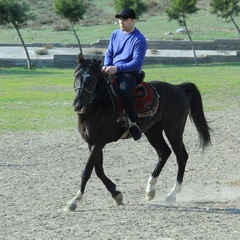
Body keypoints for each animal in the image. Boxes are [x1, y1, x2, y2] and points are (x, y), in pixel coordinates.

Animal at [63, 54, 210, 212]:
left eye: (92, 78)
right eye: (77, 76)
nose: (78, 105)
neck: (100, 105)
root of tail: (178, 88)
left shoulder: (99, 143)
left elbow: (87, 171)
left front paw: (74, 201)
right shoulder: (93, 143)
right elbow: (98, 170)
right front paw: (116, 194)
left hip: (174, 131)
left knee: (181, 157)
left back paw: (172, 194)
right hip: (153, 131)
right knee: (164, 152)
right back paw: (150, 190)